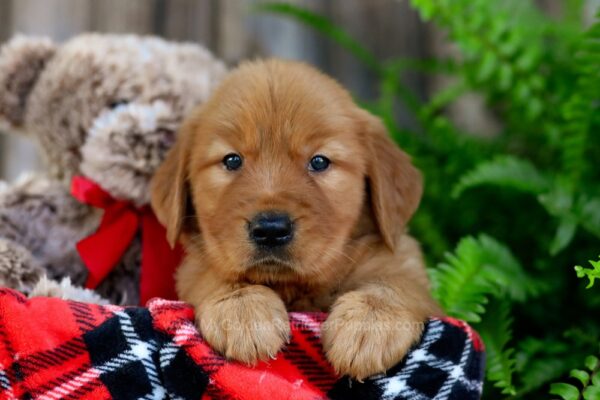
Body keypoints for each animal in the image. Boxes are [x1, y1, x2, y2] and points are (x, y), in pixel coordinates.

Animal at [150, 57, 440, 380]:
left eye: (319, 161)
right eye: (232, 160)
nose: (270, 230)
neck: (295, 288)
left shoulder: (403, 260)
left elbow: (396, 282)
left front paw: (369, 324)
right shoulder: (194, 267)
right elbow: (212, 276)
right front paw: (243, 310)